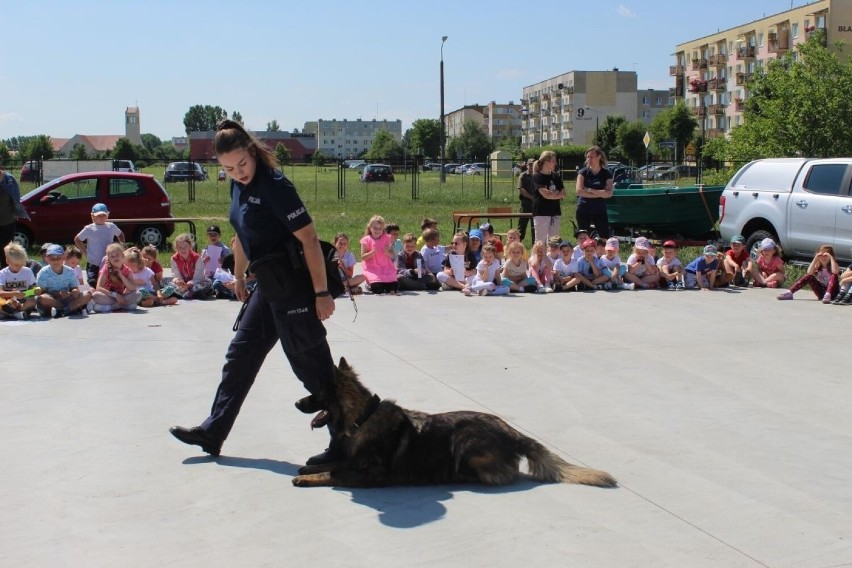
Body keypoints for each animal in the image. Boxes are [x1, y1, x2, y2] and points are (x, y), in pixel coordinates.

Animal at [292, 360, 612, 488]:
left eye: (316, 392)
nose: (296, 404)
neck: (362, 418)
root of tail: (515, 433)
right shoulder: (352, 459)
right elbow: (334, 463)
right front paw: (310, 468)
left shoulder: (371, 475)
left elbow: (334, 473)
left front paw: (308, 477)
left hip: (465, 441)